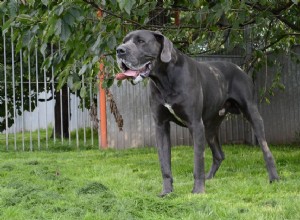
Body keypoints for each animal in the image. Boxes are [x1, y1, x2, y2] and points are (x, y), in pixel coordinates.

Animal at [115, 29, 278, 196]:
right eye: (124, 41)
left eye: (141, 41)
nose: (119, 50)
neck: (165, 78)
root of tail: (240, 69)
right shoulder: (161, 126)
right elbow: (164, 164)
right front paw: (167, 192)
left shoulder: (195, 124)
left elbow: (198, 161)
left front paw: (198, 191)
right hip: (210, 128)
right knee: (219, 155)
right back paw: (209, 178)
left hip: (252, 114)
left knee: (266, 150)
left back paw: (274, 178)